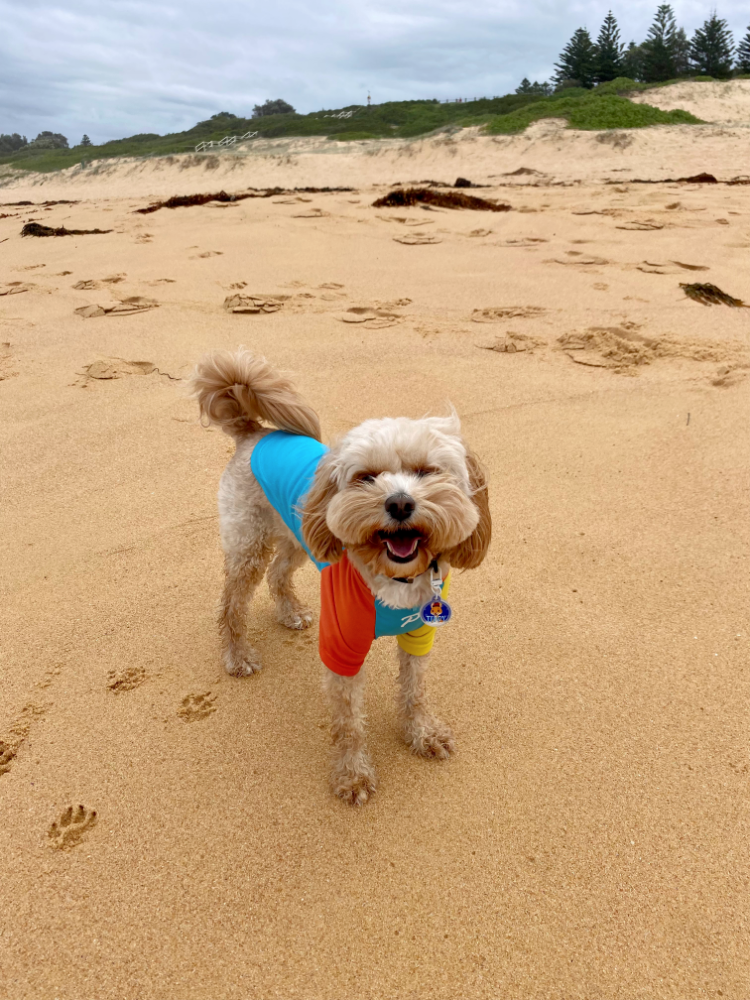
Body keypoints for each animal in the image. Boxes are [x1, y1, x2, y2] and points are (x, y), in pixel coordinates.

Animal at [191, 350, 490, 804]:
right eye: (367, 477)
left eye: (426, 471)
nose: (399, 503)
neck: (394, 578)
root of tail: (253, 433)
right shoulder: (341, 647)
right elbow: (348, 723)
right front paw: (352, 775)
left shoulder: (420, 632)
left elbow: (415, 691)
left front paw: (422, 733)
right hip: (249, 543)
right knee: (231, 602)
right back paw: (237, 655)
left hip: (301, 538)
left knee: (279, 573)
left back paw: (291, 613)